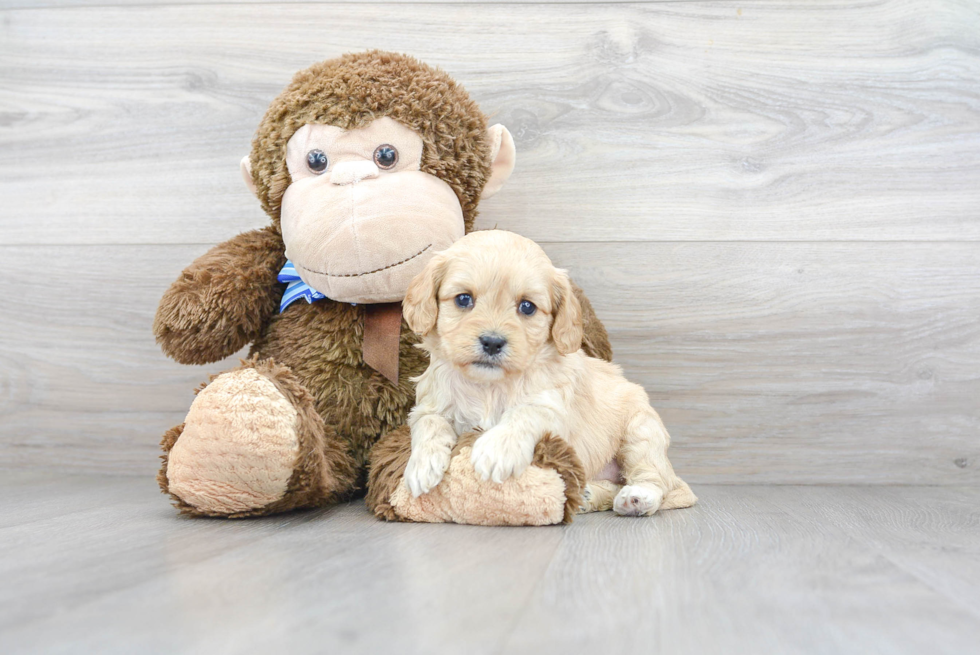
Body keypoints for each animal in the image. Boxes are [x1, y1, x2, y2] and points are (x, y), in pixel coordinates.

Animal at [400, 231, 696, 516]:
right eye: (463, 299)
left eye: (527, 306)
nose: (493, 342)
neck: (489, 386)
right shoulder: (429, 405)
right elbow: (429, 424)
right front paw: (421, 466)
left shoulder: (554, 407)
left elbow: (525, 412)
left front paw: (497, 449)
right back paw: (588, 495)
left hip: (641, 432)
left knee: (656, 479)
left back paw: (637, 498)